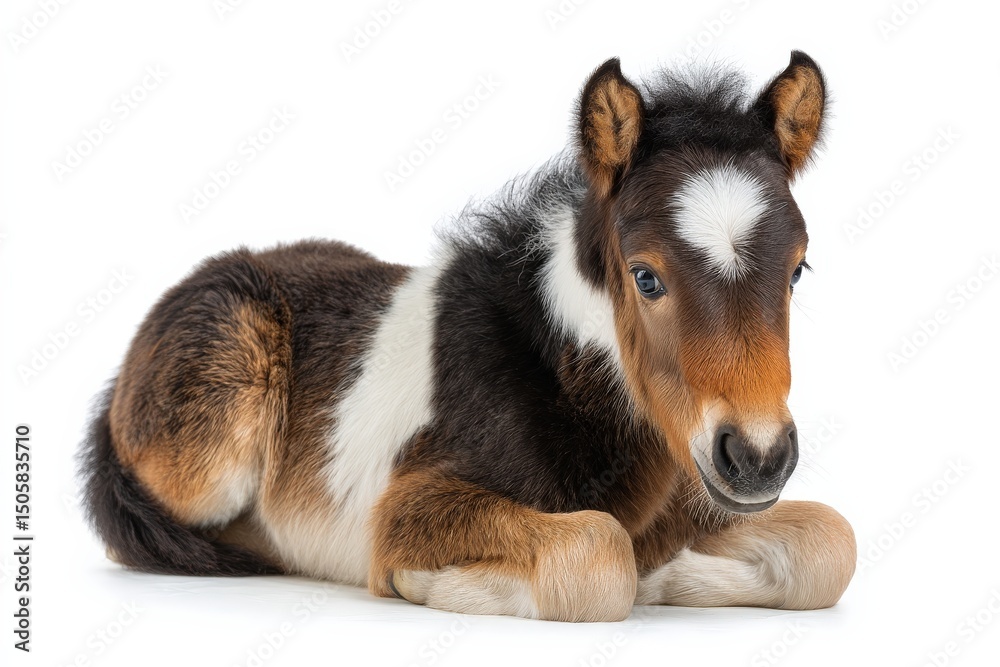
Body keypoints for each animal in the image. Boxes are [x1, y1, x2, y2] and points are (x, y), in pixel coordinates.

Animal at [81, 51, 856, 622]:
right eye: (646, 276)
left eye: (797, 268)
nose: (756, 458)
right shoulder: (409, 506)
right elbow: (602, 555)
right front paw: (435, 584)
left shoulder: (700, 488)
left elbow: (830, 542)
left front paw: (672, 573)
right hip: (211, 457)